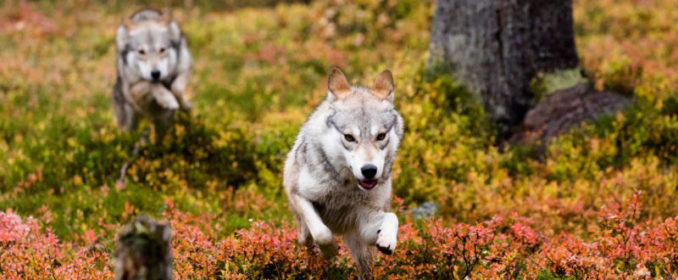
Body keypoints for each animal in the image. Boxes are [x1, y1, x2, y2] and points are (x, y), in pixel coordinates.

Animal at [282, 66, 404, 278]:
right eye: (349, 137)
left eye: (381, 136)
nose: (369, 170)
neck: (346, 187)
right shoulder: (300, 195)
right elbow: (322, 233)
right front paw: (330, 250)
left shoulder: (364, 222)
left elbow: (392, 216)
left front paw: (388, 239)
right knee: (306, 239)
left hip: (361, 247)